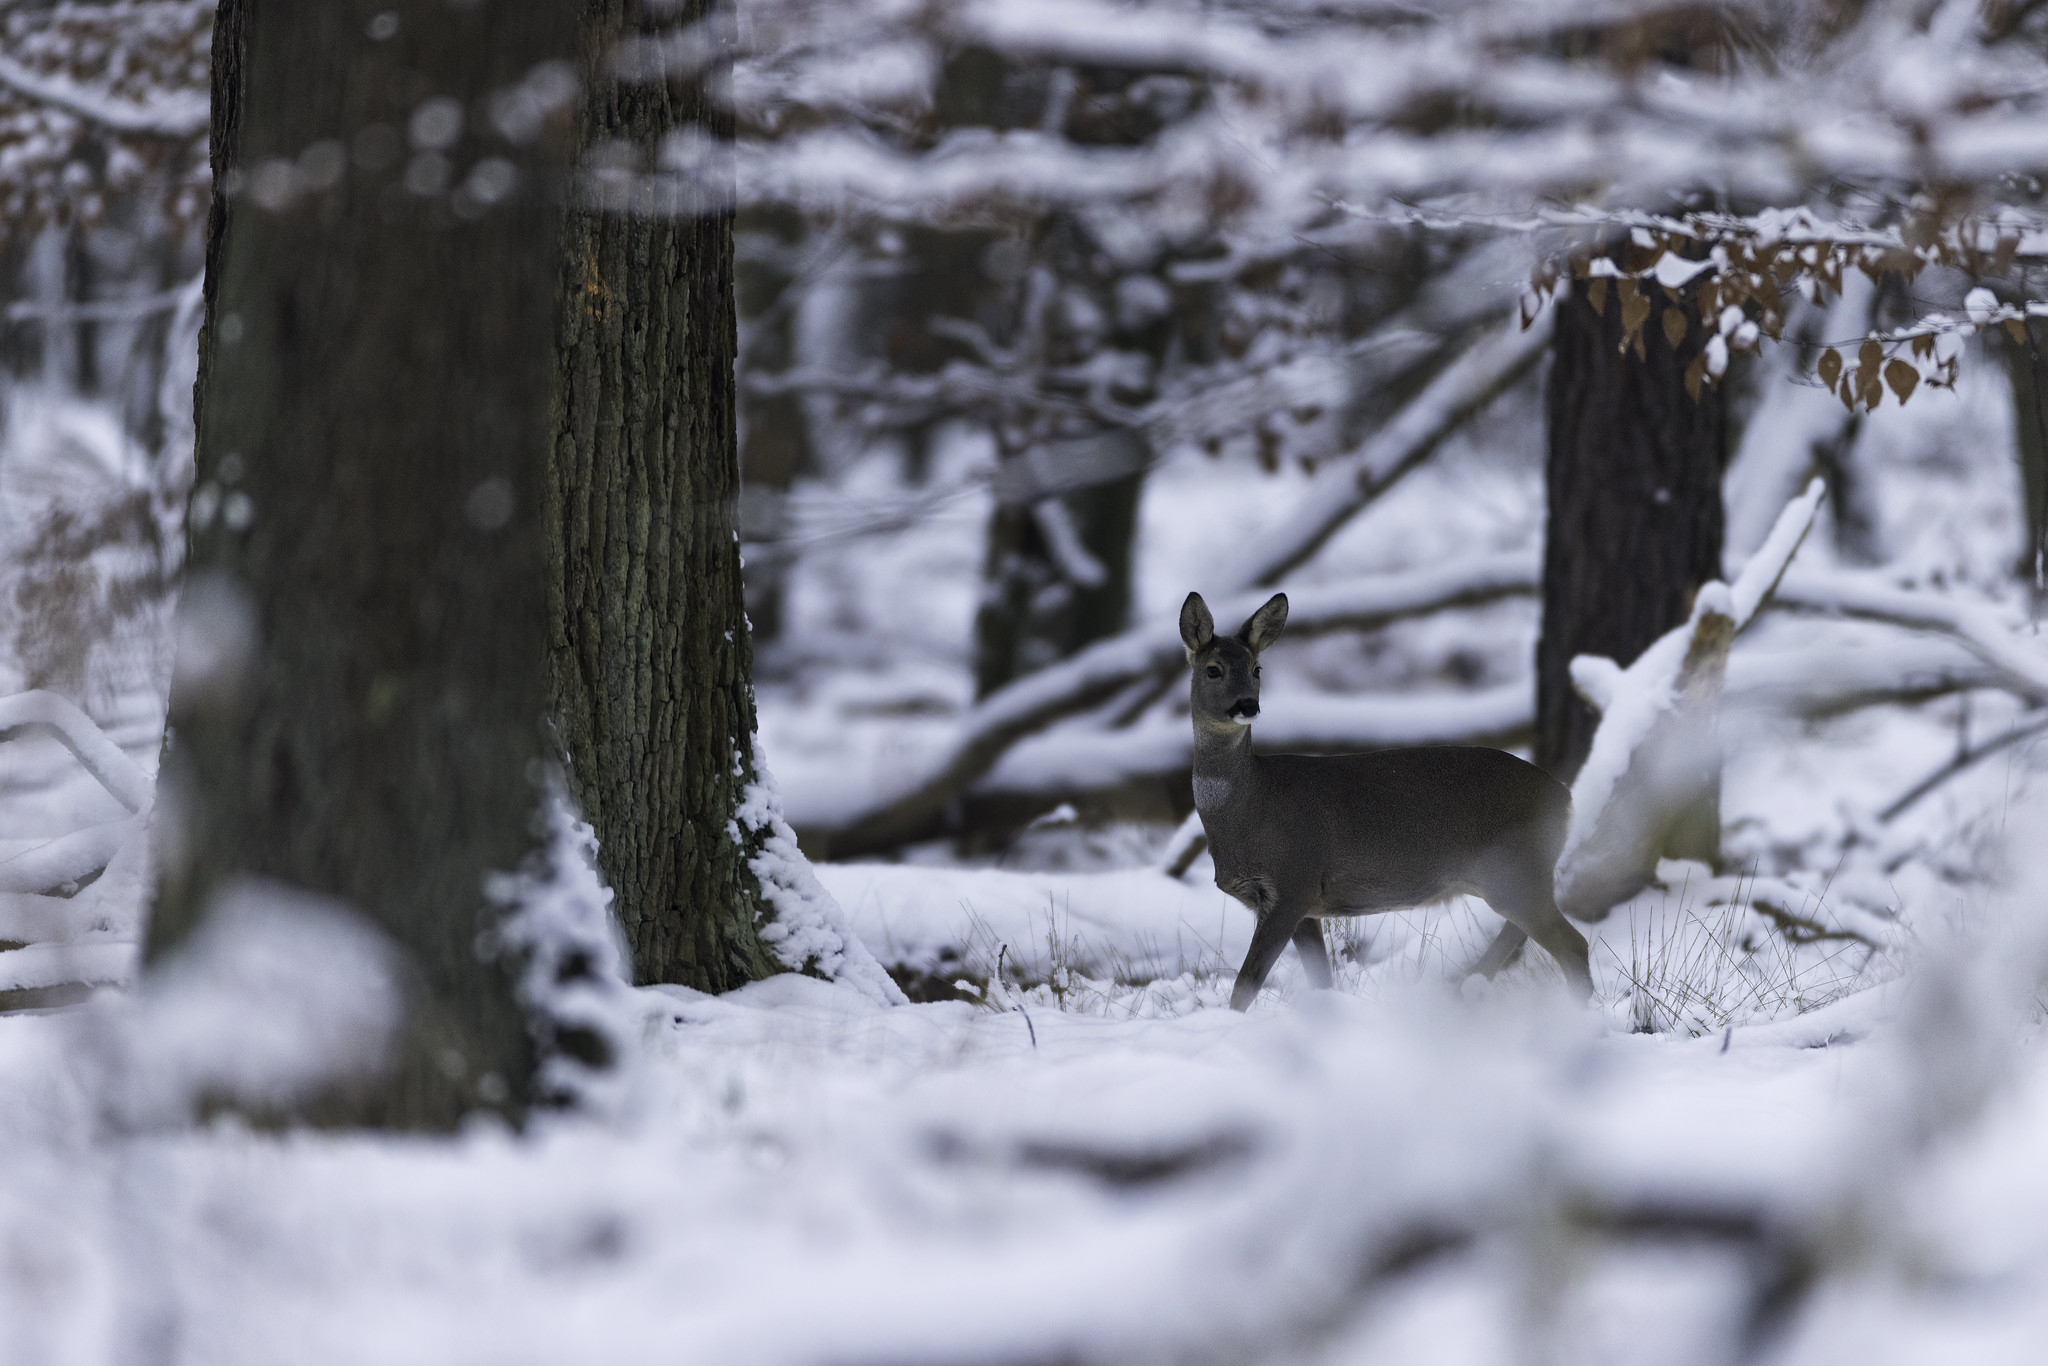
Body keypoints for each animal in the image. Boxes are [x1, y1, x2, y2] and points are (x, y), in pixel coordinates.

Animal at [1179, 589, 1589, 1015]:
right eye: (1213, 670)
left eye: (1257, 669)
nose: (1247, 705)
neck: (1250, 807)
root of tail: (1566, 796)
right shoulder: (1302, 904)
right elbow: (1320, 980)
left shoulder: (1295, 880)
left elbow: (1245, 986)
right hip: (1513, 875)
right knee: (1528, 937)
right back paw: (1469, 985)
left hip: (1515, 868)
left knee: (1573, 945)